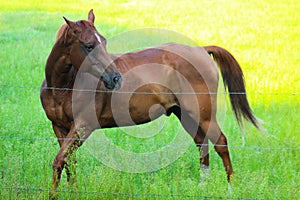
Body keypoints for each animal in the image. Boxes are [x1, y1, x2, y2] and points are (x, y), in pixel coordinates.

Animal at [40, 9, 260, 198]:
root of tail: (202, 50)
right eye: (88, 45)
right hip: (186, 115)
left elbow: (59, 161)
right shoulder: (59, 127)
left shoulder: (83, 127)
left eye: (104, 42)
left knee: (220, 143)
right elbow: (69, 162)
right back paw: (202, 187)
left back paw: (230, 189)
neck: (63, 87)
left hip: (204, 116)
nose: (116, 78)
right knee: (202, 144)